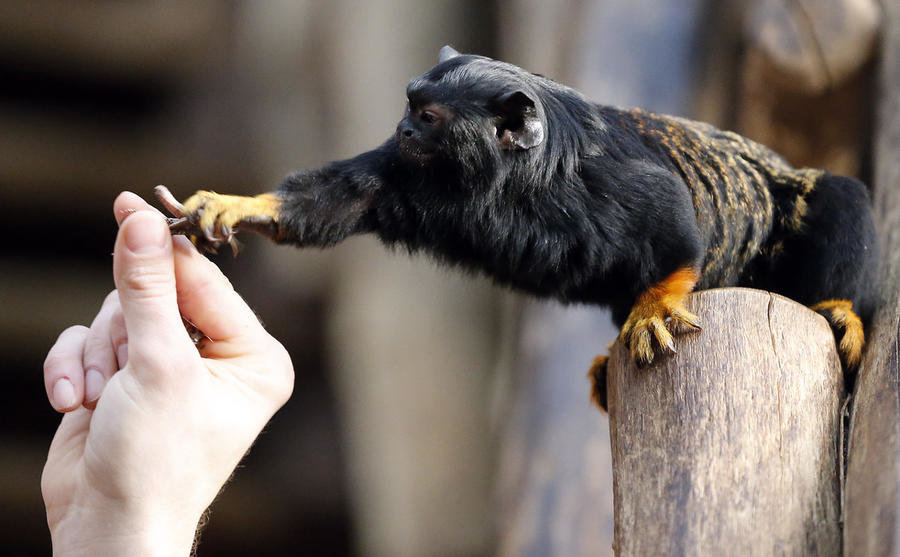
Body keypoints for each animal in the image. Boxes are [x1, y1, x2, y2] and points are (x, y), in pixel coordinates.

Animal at [156, 45, 879, 410]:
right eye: (408, 107)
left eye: (429, 115)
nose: (403, 128)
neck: (501, 184)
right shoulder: (405, 176)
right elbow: (333, 202)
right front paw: (238, 206)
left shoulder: (606, 181)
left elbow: (671, 218)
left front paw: (656, 303)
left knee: (840, 196)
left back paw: (842, 308)